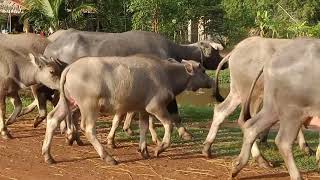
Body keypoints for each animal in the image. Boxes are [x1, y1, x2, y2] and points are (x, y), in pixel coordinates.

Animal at [42, 54, 212, 165]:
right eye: (203, 70)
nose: (211, 81)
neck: (167, 74)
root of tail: (70, 67)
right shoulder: (155, 107)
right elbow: (169, 124)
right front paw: (160, 148)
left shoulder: (143, 109)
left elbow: (144, 127)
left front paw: (144, 150)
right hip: (89, 106)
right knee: (88, 128)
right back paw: (108, 157)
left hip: (68, 102)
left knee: (52, 118)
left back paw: (48, 155)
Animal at [204, 36, 312, 167]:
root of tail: (236, 49)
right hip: (253, 95)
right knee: (246, 120)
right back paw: (260, 158)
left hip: (237, 93)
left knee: (221, 111)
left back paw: (207, 148)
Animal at [231, 38, 320, 180]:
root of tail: (271, 61)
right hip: (292, 112)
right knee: (283, 141)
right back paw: (296, 175)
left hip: (271, 108)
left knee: (251, 125)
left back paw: (238, 165)